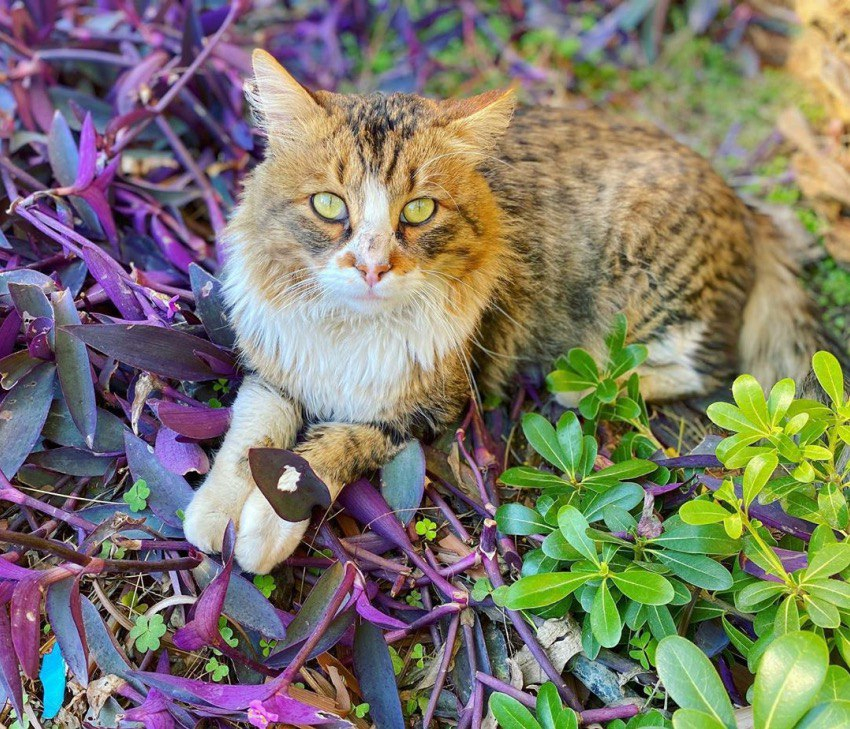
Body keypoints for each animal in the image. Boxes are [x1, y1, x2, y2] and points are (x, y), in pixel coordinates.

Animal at [184, 49, 836, 576]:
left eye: (418, 210)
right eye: (327, 205)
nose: (372, 267)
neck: (353, 333)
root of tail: (746, 207)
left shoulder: (427, 407)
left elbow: (317, 455)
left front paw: (266, 526)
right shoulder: (277, 366)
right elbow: (251, 434)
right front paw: (215, 513)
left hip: (645, 292)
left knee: (711, 370)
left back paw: (581, 381)